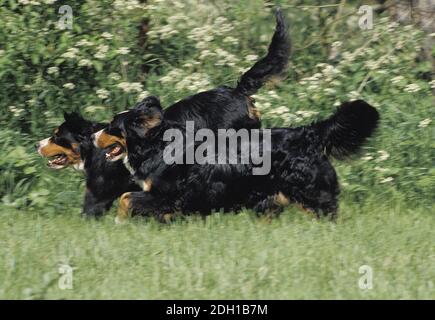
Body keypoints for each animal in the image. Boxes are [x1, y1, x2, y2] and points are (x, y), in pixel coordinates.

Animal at [94, 98, 378, 222]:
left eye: (111, 127)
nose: (92, 135)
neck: (156, 146)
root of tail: (309, 133)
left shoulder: (166, 194)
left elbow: (126, 198)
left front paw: (120, 221)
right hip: (270, 200)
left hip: (311, 193)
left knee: (327, 213)